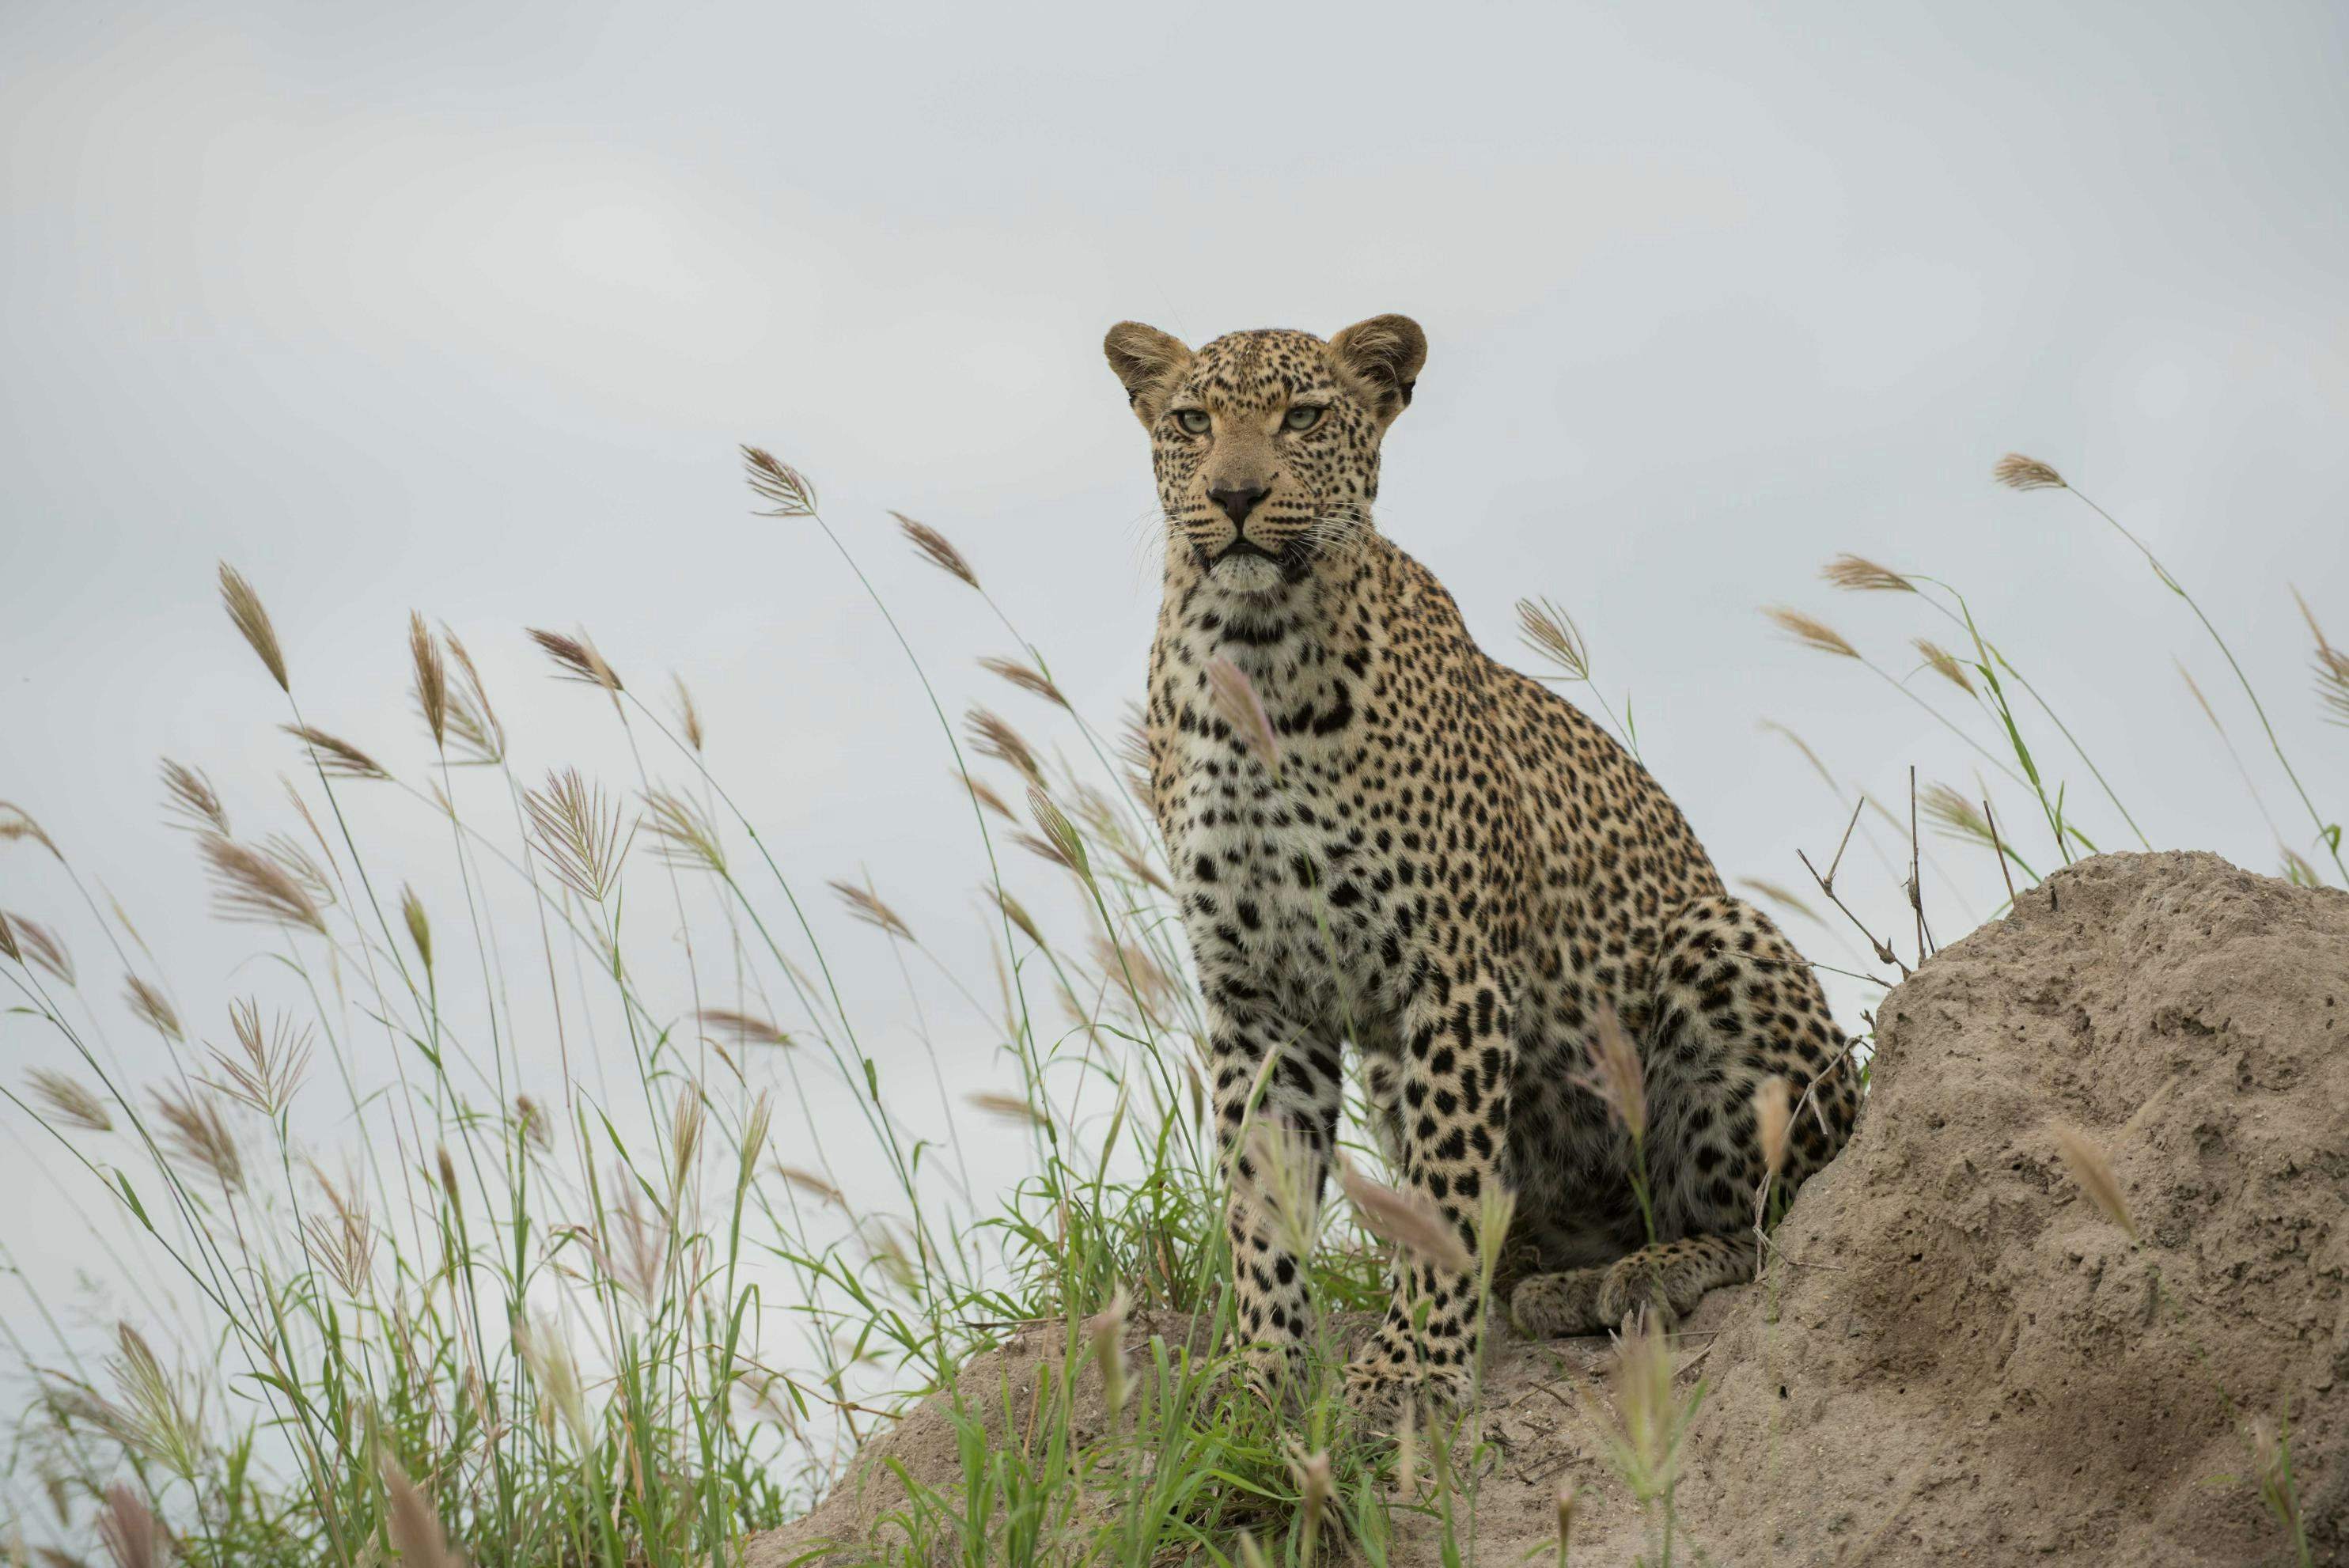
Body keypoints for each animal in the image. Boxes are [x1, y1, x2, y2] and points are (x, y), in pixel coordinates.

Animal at [1103, 313, 1861, 1417]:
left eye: (1304, 416)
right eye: (1193, 421)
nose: (1234, 495)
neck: (1251, 648)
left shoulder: (1450, 969)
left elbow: (1447, 1184)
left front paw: (1409, 1369)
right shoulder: (1255, 993)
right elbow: (1258, 1198)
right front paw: (1259, 1370)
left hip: (1715, 942)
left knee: (1774, 1221)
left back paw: (1647, 1269)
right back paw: (1552, 1280)